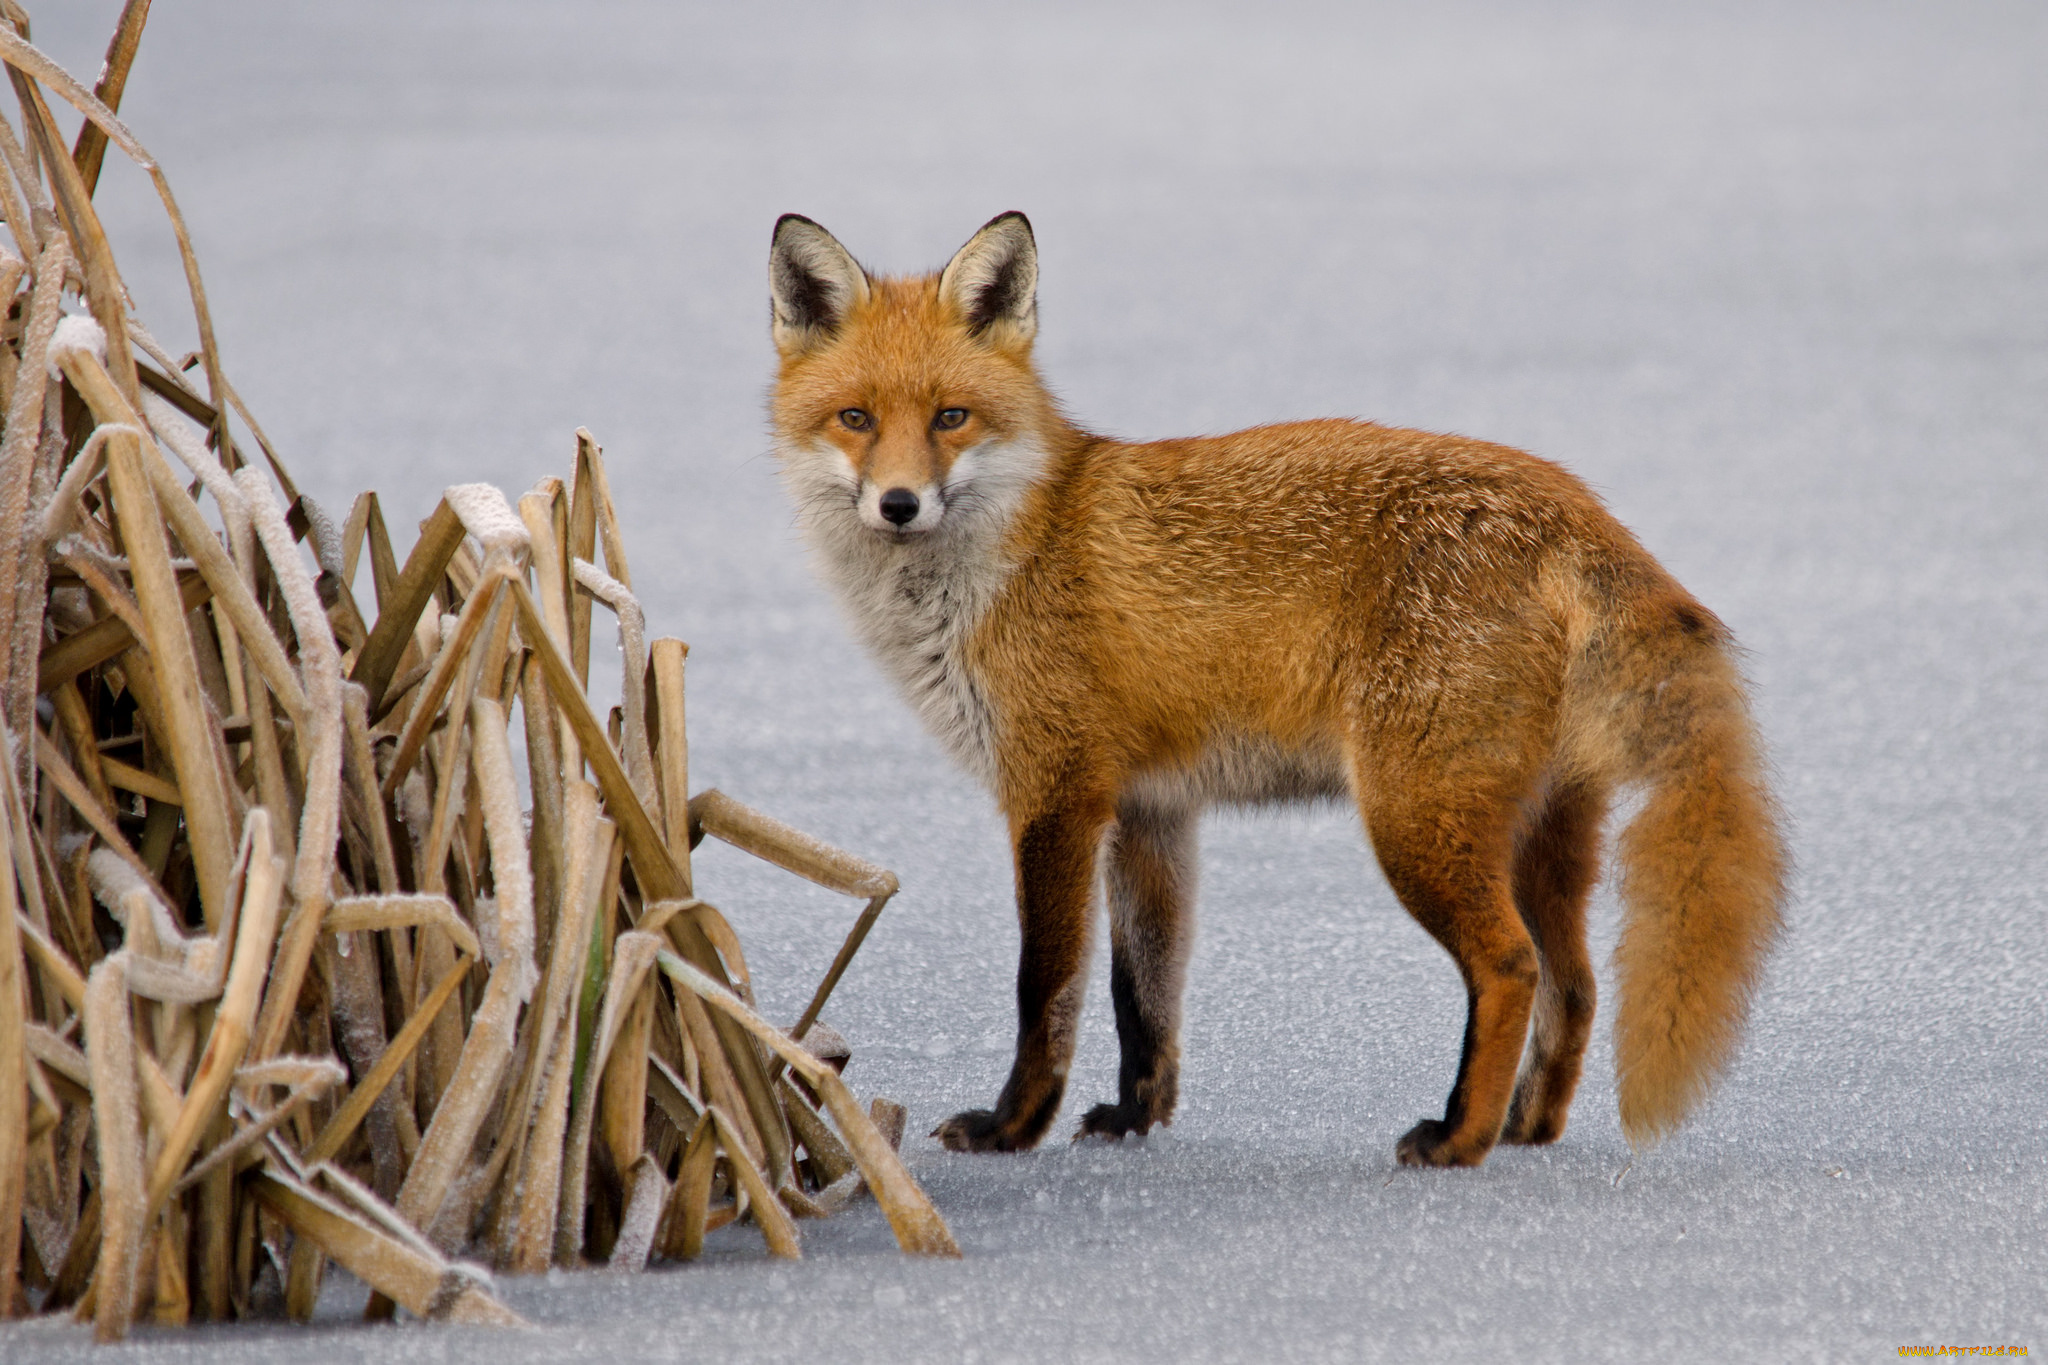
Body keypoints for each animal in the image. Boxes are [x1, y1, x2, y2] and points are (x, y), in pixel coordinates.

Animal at [761, 208, 1785, 1170]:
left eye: (951, 418)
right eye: (856, 419)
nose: (899, 504)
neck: (1009, 556)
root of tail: (1574, 505)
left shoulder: (1055, 794)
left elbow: (1044, 989)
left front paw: (1014, 1126)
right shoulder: (1151, 813)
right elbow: (1144, 995)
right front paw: (1134, 1118)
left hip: (1416, 821)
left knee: (1509, 967)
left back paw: (1459, 1138)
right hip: (1536, 835)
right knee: (1576, 984)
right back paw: (1526, 1127)